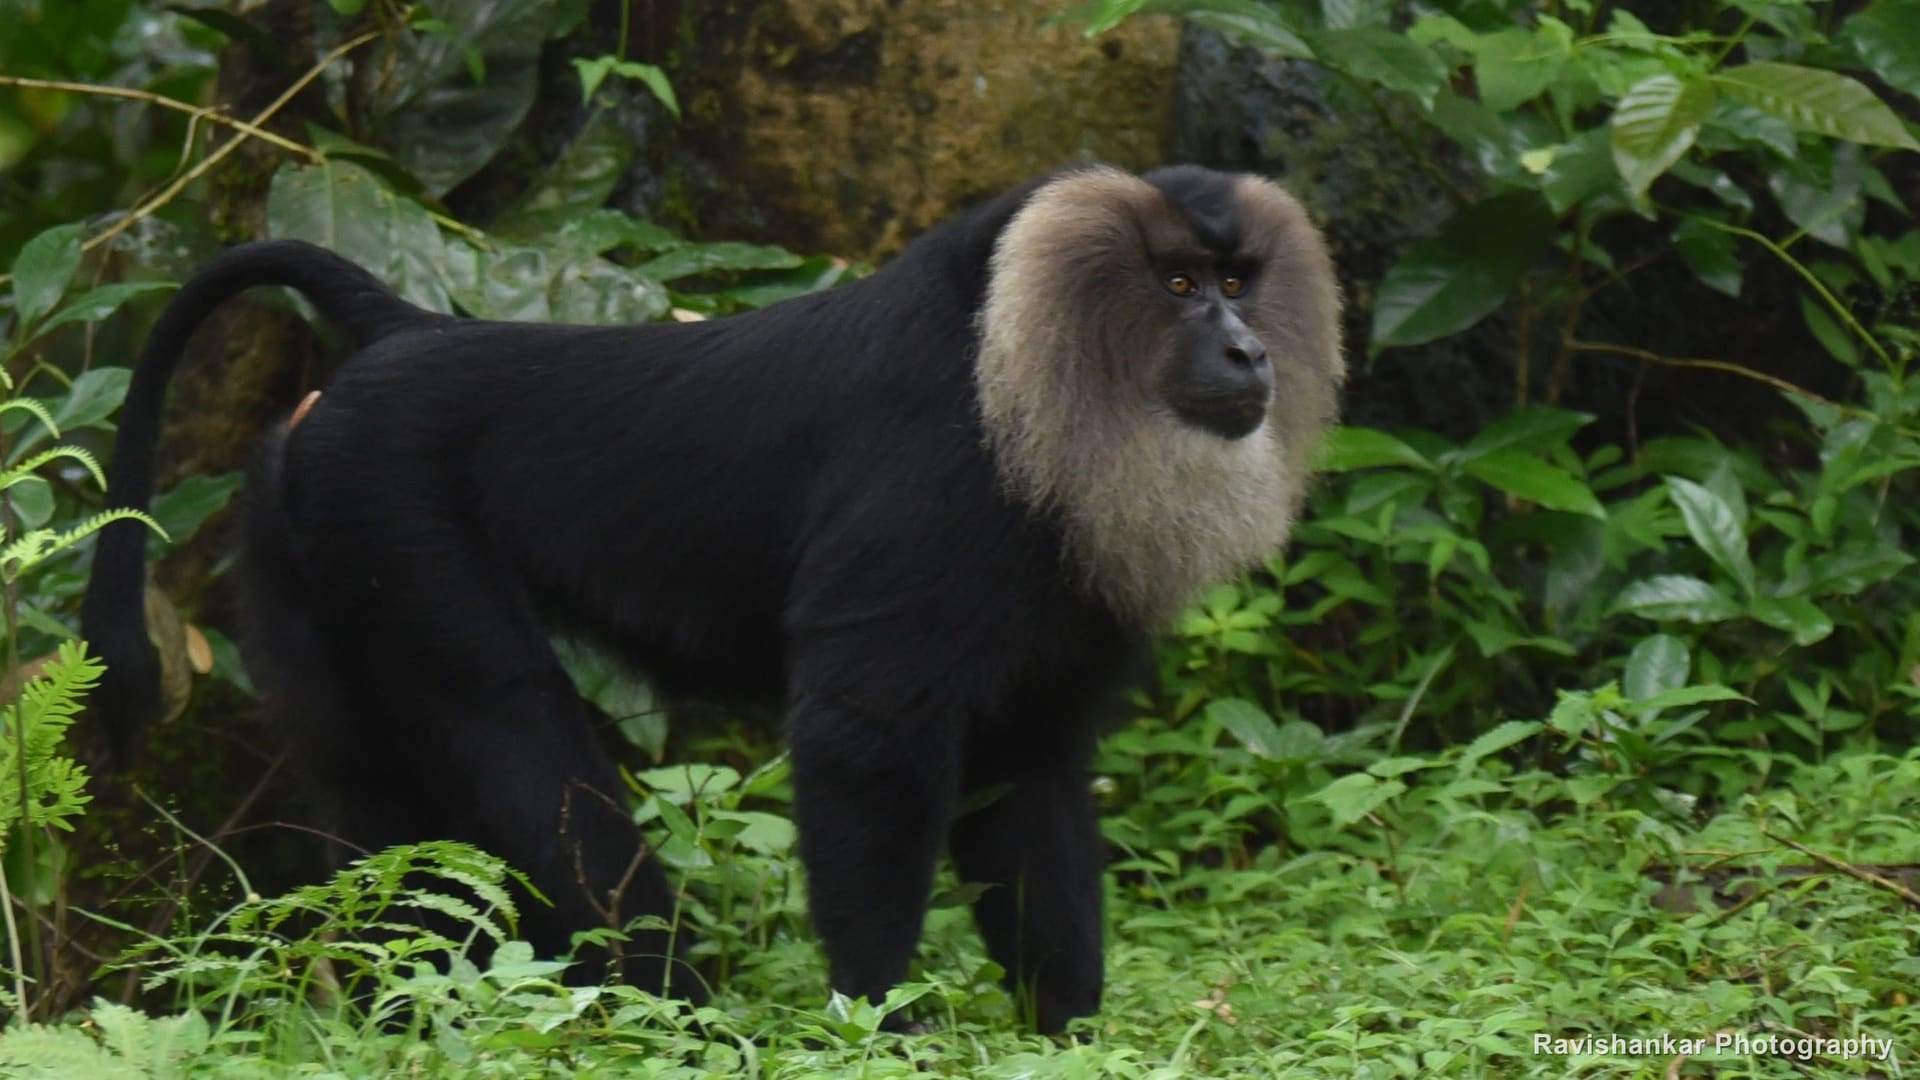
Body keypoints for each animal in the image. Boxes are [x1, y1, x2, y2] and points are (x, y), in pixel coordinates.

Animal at [82, 164, 1344, 1034]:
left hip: (301, 526)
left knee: (375, 795)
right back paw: (676, 1016)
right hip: (390, 513)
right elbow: (864, 746)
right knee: (517, 739)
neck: (1017, 363)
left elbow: (1027, 782)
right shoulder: (929, 491)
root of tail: (409, 336)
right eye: (1177, 284)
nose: (1249, 354)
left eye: (1238, 284)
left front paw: (1071, 1035)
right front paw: (878, 1026)